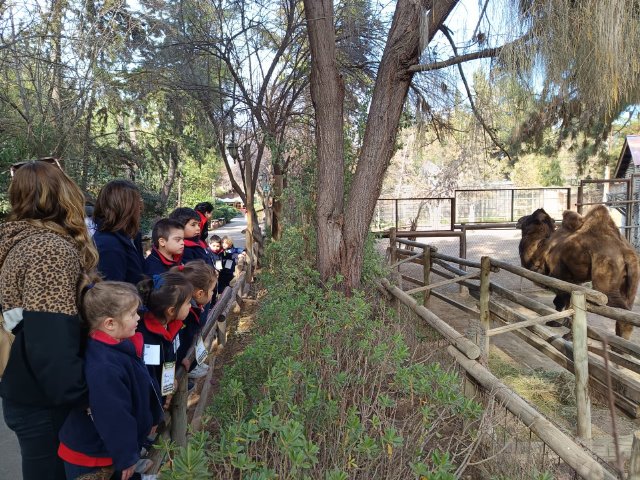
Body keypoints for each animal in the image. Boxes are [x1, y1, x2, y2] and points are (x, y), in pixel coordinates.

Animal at [516, 205, 640, 338]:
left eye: (531, 218)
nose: (518, 221)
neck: (543, 249)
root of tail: (626, 253)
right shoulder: (573, 280)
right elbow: (570, 304)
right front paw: (563, 327)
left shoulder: (560, 276)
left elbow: (561, 302)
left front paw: (556, 325)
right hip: (631, 280)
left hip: (606, 272)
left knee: (619, 311)